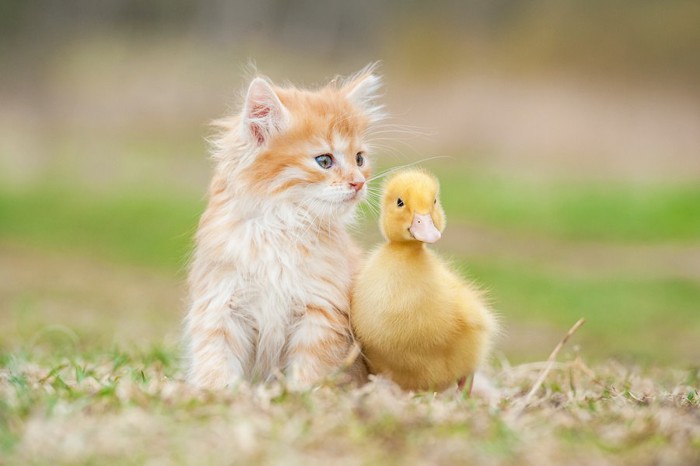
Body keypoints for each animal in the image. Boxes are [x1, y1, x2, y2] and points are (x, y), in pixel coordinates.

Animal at [185, 64, 382, 390]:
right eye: (324, 160)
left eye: (359, 159)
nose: (358, 183)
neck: (281, 226)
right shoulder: (221, 304)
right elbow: (215, 359)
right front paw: (218, 392)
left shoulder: (320, 312)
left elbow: (310, 369)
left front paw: (303, 395)